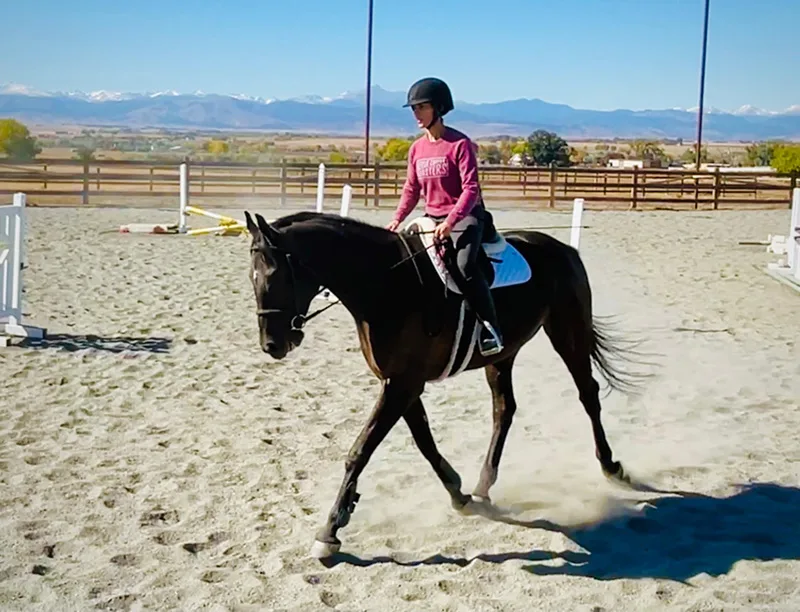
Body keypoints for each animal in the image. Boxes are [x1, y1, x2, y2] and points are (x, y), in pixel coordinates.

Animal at [242, 209, 644, 560]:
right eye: (251, 277)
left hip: (568, 332)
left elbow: (360, 451)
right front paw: (458, 494)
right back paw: (482, 488)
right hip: (504, 355)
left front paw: (330, 531)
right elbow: (424, 442)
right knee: (504, 408)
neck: (385, 285)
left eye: (277, 276)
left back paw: (612, 466)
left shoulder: (401, 385)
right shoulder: (401, 383)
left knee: (587, 395)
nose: (272, 345)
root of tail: (563, 249)